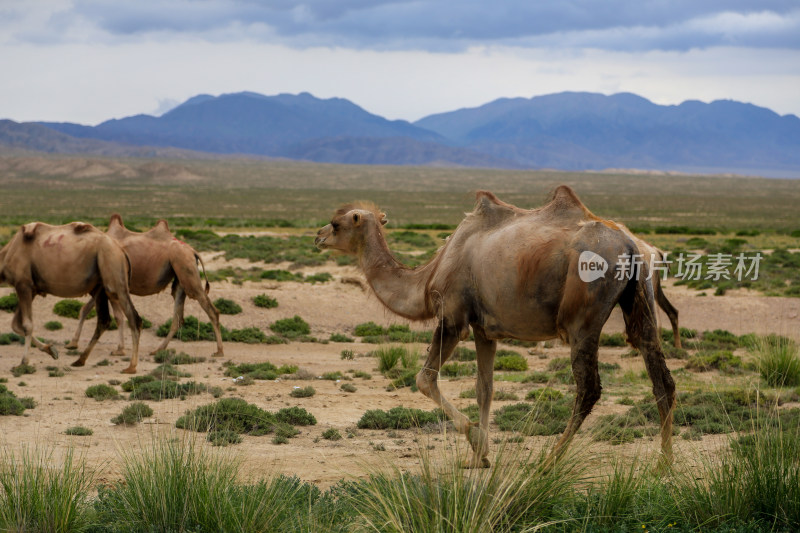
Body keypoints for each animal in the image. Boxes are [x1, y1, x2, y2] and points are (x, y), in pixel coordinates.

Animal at [0, 219, 142, 370]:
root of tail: (121, 250)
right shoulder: (31, 289)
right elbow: (16, 324)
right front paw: (51, 350)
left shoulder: (23, 284)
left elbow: (26, 325)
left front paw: (24, 362)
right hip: (100, 286)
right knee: (104, 320)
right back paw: (80, 360)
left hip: (114, 275)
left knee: (134, 318)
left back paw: (131, 367)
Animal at [66, 213, 225, 358]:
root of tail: (192, 251)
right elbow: (87, 310)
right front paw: (73, 343)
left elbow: (115, 316)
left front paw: (118, 350)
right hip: (180, 275)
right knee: (178, 317)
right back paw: (158, 350)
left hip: (186, 267)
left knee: (210, 309)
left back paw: (219, 351)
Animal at [316, 186, 680, 466]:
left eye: (335, 224)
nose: (317, 236)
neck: (429, 275)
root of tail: (631, 246)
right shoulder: (484, 330)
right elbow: (485, 388)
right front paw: (479, 457)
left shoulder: (453, 318)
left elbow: (425, 379)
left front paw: (477, 441)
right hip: (641, 295)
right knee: (659, 372)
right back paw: (663, 464)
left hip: (583, 313)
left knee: (588, 386)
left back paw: (548, 461)